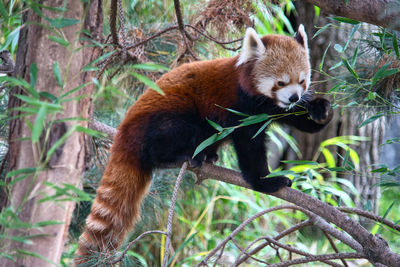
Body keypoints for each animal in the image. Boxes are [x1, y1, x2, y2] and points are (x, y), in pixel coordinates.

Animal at [74, 24, 332, 264]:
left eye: (302, 81)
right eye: (280, 82)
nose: (293, 97)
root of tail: (125, 131)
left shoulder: (271, 108)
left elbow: (291, 115)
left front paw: (319, 111)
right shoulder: (240, 105)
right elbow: (249, 146)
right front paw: (265, 181)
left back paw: (209, 155)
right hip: (166, 120)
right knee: (177, 133)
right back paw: (184, 156)